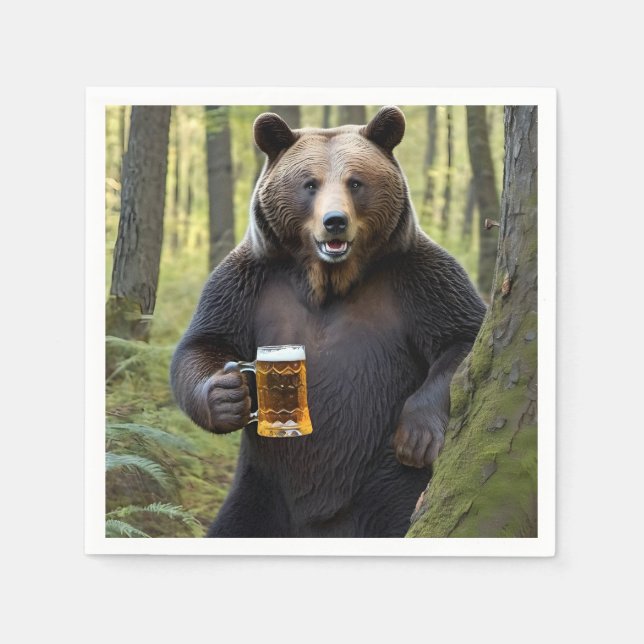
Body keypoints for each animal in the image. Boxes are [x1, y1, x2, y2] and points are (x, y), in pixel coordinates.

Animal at [170, 106, 486, 538]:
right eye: (310, 184)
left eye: (355, 182)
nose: (335, 221)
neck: (329, 280)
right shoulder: (249, 284)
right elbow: (203, 343)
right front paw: (227, 396)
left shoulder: (416, 278)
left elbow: (461, 336)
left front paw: (417, 435)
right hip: (261, 487)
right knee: (235, 523)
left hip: (381, 484)